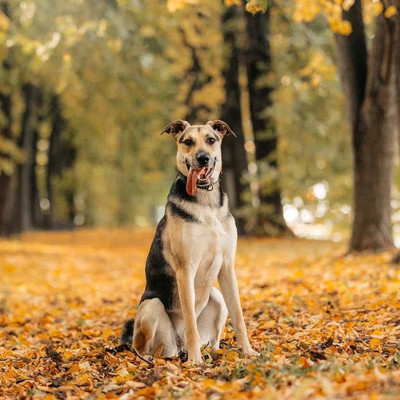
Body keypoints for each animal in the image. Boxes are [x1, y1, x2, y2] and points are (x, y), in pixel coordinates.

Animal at [120, 119, 258, 362]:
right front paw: (195, 362)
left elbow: (239, 316)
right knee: (140, 347)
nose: (203, 158)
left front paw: (247, 351)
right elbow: (191, 321)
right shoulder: (186, 269)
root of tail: (179, 345)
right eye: (188, 142)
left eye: (211, 140)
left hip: (217, 297)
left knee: (212, 336)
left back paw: (214, 351)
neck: (206, 202)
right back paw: (155, 358)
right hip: (151, 307)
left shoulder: (227, 267)